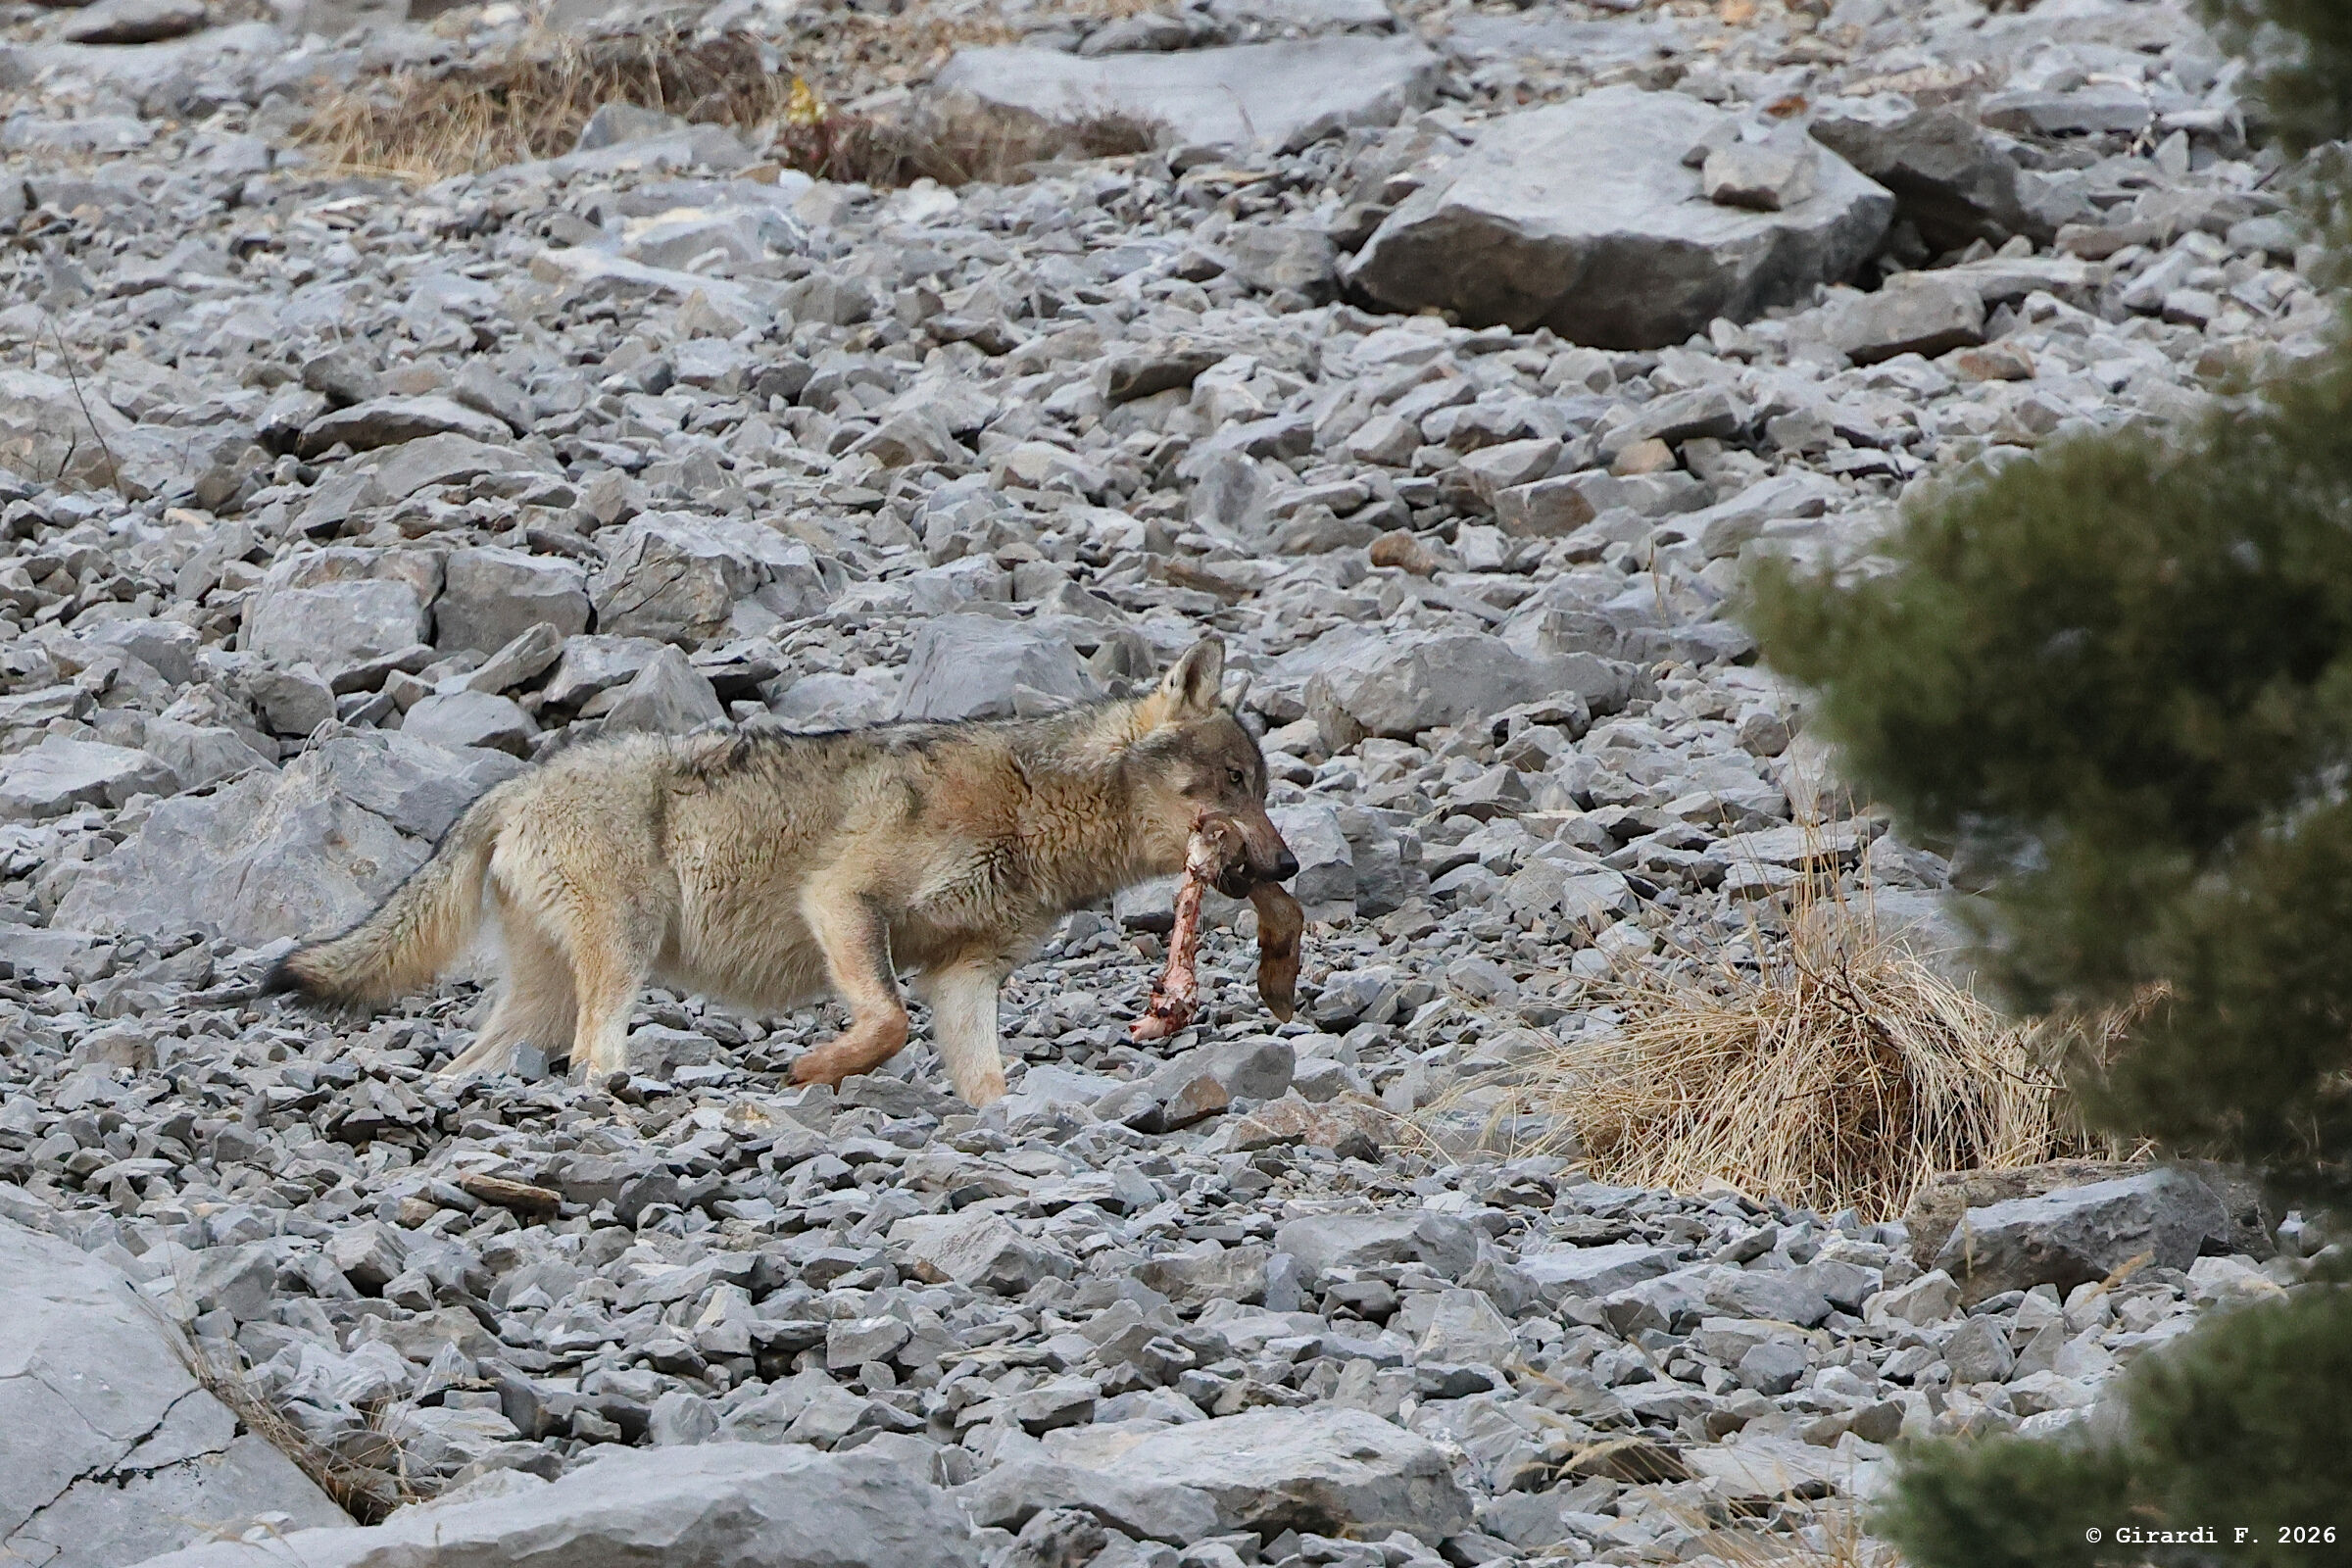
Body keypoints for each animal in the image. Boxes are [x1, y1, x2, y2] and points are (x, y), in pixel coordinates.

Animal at [263, 637, 1296, 1106]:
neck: (1034, 801)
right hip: (623, 956)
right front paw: (812, 1069)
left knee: (478, 1062)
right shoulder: (842, 903)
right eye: (1235, 784)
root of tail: (514, 786)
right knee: (595, 1058)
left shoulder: (965, 975)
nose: (1290, 863)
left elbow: (985, 1078)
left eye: (1262, 786)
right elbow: (885, 1025)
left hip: (542, 1001)